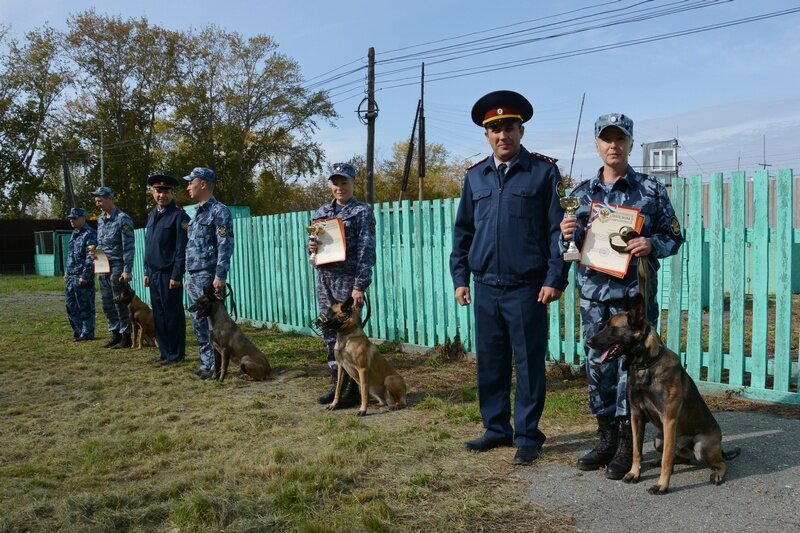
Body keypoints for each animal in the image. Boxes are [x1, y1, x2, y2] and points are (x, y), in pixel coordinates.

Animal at [592, 294, 740, 492]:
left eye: (611, 327)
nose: (588, 342)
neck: (646, 364)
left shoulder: (669, 420)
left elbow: (666, 459)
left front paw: (662, 485)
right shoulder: (636, 416)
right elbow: (637, 450)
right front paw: (634, 473)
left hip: (700, 444)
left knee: (720, 463)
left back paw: (716, 474)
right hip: (658, 439)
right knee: (683, 458)